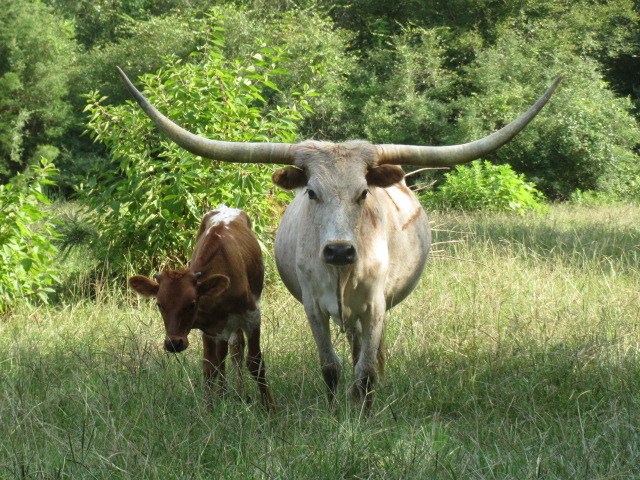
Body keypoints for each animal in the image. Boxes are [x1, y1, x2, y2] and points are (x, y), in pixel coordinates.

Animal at [129, 206, 274, 410]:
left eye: (192, 303)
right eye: (159, 304)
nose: (173, 343)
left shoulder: (252, 315)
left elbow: (255, 362)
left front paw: (269, 407)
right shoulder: (209, 328)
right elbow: (209, 368)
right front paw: (208, 407)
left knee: (237, 349)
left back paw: (239, 394)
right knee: (225, 354)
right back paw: (226, 394)